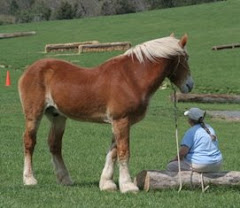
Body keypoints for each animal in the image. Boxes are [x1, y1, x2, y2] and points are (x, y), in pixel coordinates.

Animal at [19, 33, 194, 192]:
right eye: (186, 58)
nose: (190, 85)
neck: (131, 78)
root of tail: (29, 70)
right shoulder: (121, 120)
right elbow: (124, 152)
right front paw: (127, 186)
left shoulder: (118, 122)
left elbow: (113, 152)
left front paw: (107, 184)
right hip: (34, 115)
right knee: (29, 141)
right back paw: (29, 179)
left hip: (57, 117)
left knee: (54, 145)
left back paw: (65, 179)